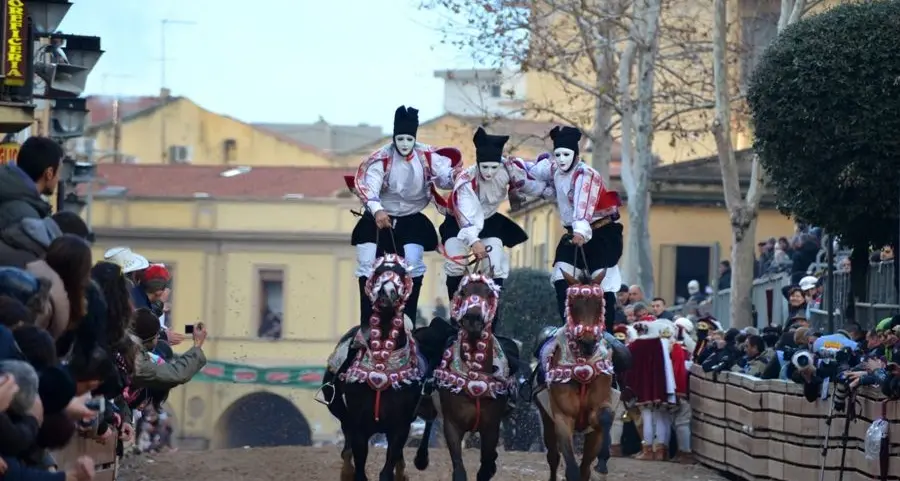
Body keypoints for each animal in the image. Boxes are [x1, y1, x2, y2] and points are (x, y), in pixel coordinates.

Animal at [320, 253, 426, 478]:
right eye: (377, 272)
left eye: (402, 273)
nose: (387, 294)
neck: (382, 366)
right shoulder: (359, 425)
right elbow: (359, 466)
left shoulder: (400, 426)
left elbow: (389, 466)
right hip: (343, 415)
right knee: (346, 450)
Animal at [414, 274, 520, 480]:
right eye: (463, 292)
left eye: (489, 293)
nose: (473, 317)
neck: (474, 377)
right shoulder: (452, 425)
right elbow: (459, 469)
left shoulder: (491, 428)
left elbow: (486, 466)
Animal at [536, 270, 620, 480]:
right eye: (573, 305)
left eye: (599, 304)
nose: (588, 342)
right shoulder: (562, 417)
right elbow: (571, 467)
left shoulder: (599, 408)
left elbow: (605, 417)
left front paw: (603, 461)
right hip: (546, 419)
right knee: (553, 456)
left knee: (586, 465)